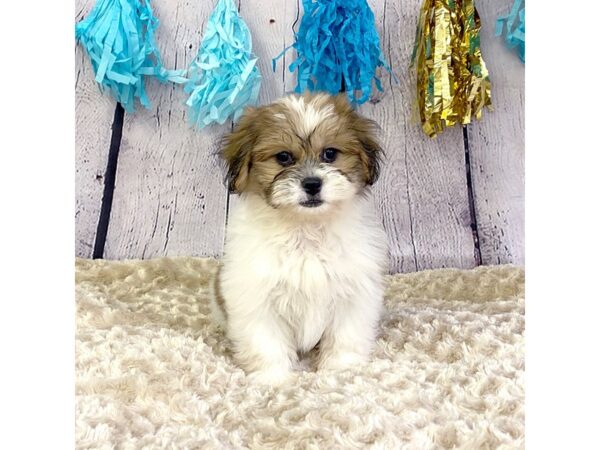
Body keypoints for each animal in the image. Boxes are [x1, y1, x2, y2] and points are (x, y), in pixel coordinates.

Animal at [211, 93, 390, 384]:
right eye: (284, 157)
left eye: (330, 153)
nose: (312, 183)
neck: (306, 230)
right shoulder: (257, 297)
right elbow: (266, 342)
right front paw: (272, 378)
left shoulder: (353, 293)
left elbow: (345, 336)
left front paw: (342, 369)